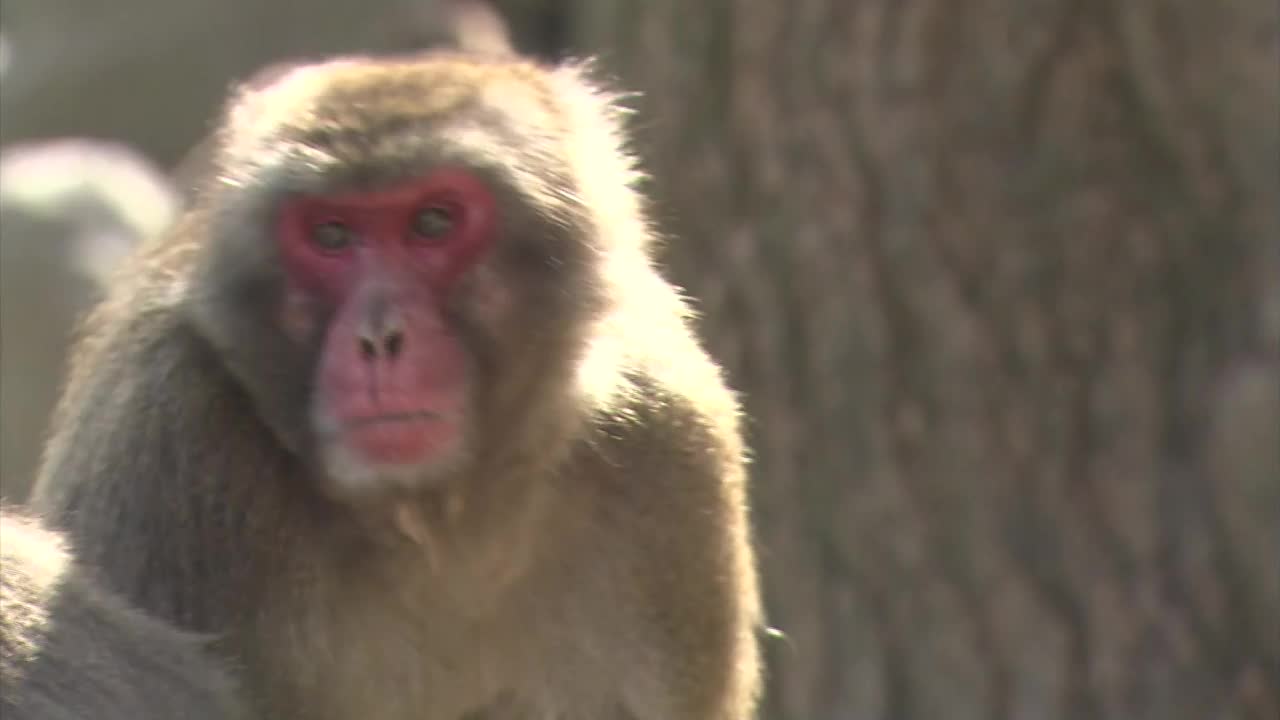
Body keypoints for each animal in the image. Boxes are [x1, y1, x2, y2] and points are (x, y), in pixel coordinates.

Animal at [32, 51, 757, 717]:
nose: (379, 339)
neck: (437, 517)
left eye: (433, 222)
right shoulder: (162, 433)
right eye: (330, 234)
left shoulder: (669, 440)